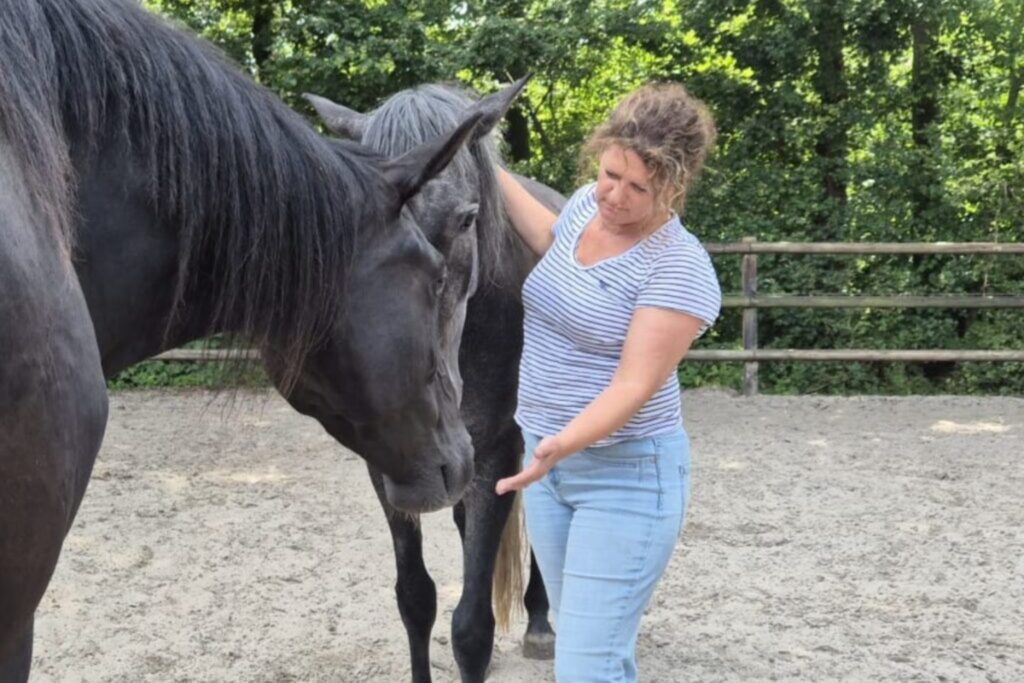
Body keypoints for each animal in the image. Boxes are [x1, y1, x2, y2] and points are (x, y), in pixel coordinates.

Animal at [307, 82, 569, 682]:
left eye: (467, 219)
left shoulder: (497, 450)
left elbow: (470, 626)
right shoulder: (391, 464)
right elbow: (416, 599)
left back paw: (541, 622)